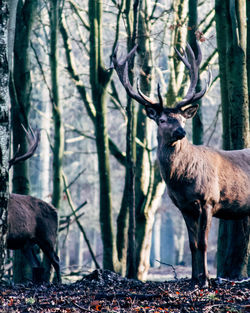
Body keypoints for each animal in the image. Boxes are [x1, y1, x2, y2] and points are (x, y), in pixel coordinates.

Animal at [6, 125, 61, 282]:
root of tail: (57, 211)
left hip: (48, 236)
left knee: (55, 260)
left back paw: (58, 282)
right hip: (27, 243)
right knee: (37, 265)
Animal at [113, 42, 250, 286]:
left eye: (183, 119)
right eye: (162, 119)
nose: (181, 132)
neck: (181, 181)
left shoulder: (208, 200)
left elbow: (203, 243)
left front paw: (205, 280)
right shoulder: (184, 207)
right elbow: (192, 244)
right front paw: (194, 279)